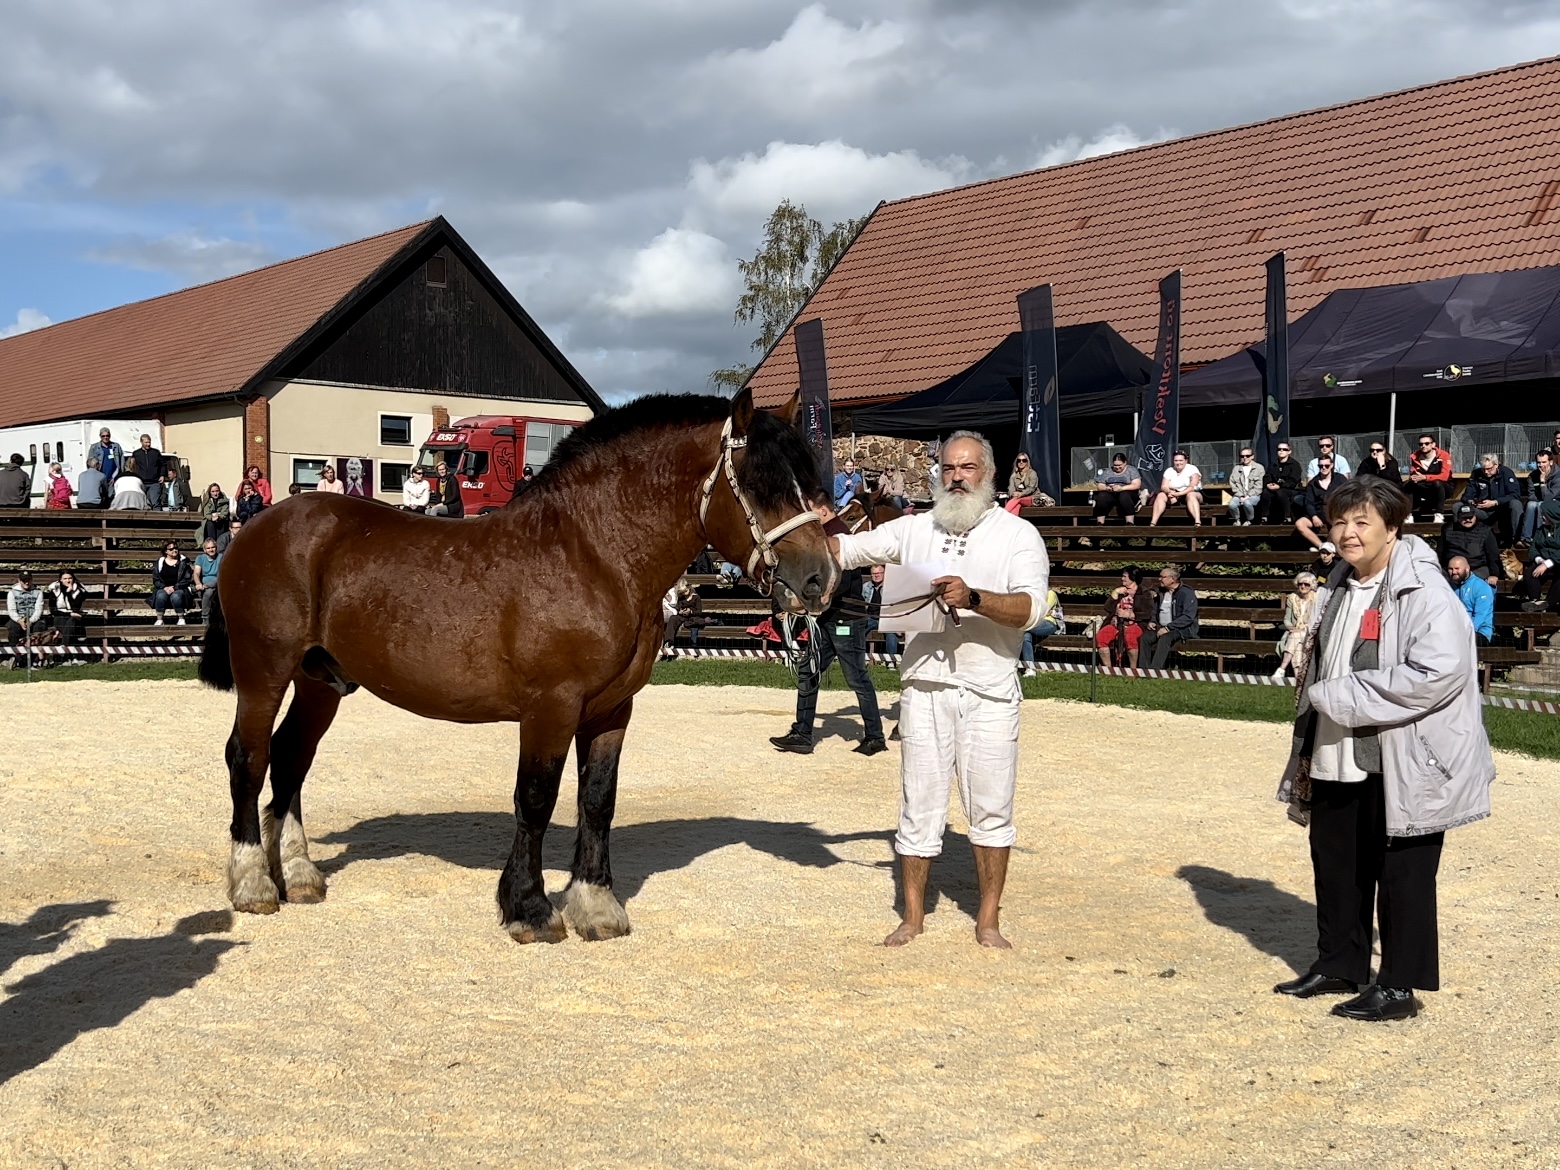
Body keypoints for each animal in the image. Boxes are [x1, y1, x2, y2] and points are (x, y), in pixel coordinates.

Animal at [209, 390, 848, 948]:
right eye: (760, 484)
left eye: (811, 482)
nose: (821, 579)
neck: (594, 555)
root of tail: (262, 525)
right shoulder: (552, 706)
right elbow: (537, 799)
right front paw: (530, 909)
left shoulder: (612, 711)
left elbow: (598, 801)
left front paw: (596, 906)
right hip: (264, 670)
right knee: (250, 757)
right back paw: (253, 882)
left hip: (321, 680)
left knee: (292, 758)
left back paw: (298, 876)